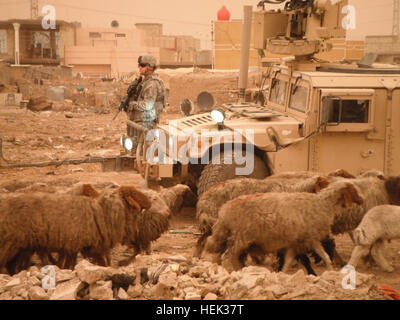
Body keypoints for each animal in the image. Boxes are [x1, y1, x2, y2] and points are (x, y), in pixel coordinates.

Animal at [205, 181, 364, 274]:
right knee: (228, 256)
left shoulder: (300, 241)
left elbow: (299, 258)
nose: (362, 200)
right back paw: (233, 271)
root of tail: (225, 210)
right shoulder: (308, 239)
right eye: (354, 190)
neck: (323, 204)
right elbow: (319, 255)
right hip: (241, 237)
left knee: (230, 256)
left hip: (237, 238)